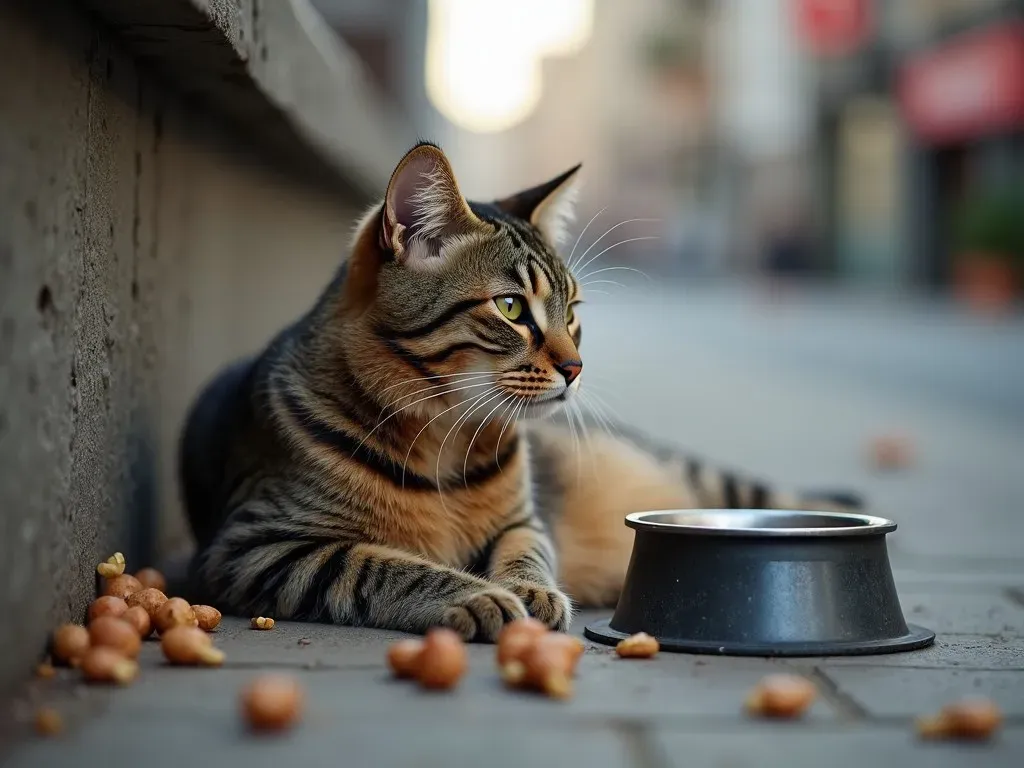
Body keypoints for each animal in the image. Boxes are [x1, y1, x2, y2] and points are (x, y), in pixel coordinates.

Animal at [180, 141, 860, 638]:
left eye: (573, 312)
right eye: (511, 308)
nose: (577, 366)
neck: (445, 436)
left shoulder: (523, 520)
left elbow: (526, 551)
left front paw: (529, 589)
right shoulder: (257, 546)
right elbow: (379, 566)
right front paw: (477, 595)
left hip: (699, 475)